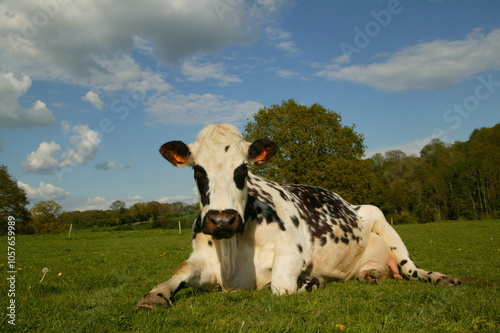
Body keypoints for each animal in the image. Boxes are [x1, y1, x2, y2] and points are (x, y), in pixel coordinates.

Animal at [136, 124, 460, 308]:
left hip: (379, 216)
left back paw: (441, 278)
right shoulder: (203, 261)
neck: (231, 255)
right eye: (197, 170)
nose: (223, 220)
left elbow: (280, 287)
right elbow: (179, 271)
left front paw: (311, 282)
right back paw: (370, 275)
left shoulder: (293, 253)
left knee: (410, 268)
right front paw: (155, 296)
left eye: (242, 169)